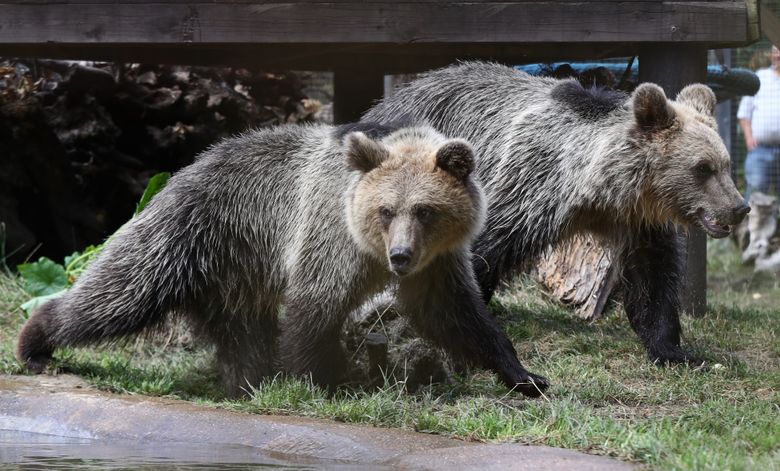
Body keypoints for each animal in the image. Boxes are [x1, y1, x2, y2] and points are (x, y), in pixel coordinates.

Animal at [13, 121, 548, 398]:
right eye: (385, 210)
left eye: (425, 210)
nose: (399, 256)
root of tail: (186, 167)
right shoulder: (329, 237)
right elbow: (314, 308)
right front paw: (313, 378)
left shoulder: (438, 263)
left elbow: (457, 315)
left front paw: (526, 376)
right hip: (191, 234)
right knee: (120, 292)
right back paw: (36, 340)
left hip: (235, 277)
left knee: (243, 334)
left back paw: (245, 380)